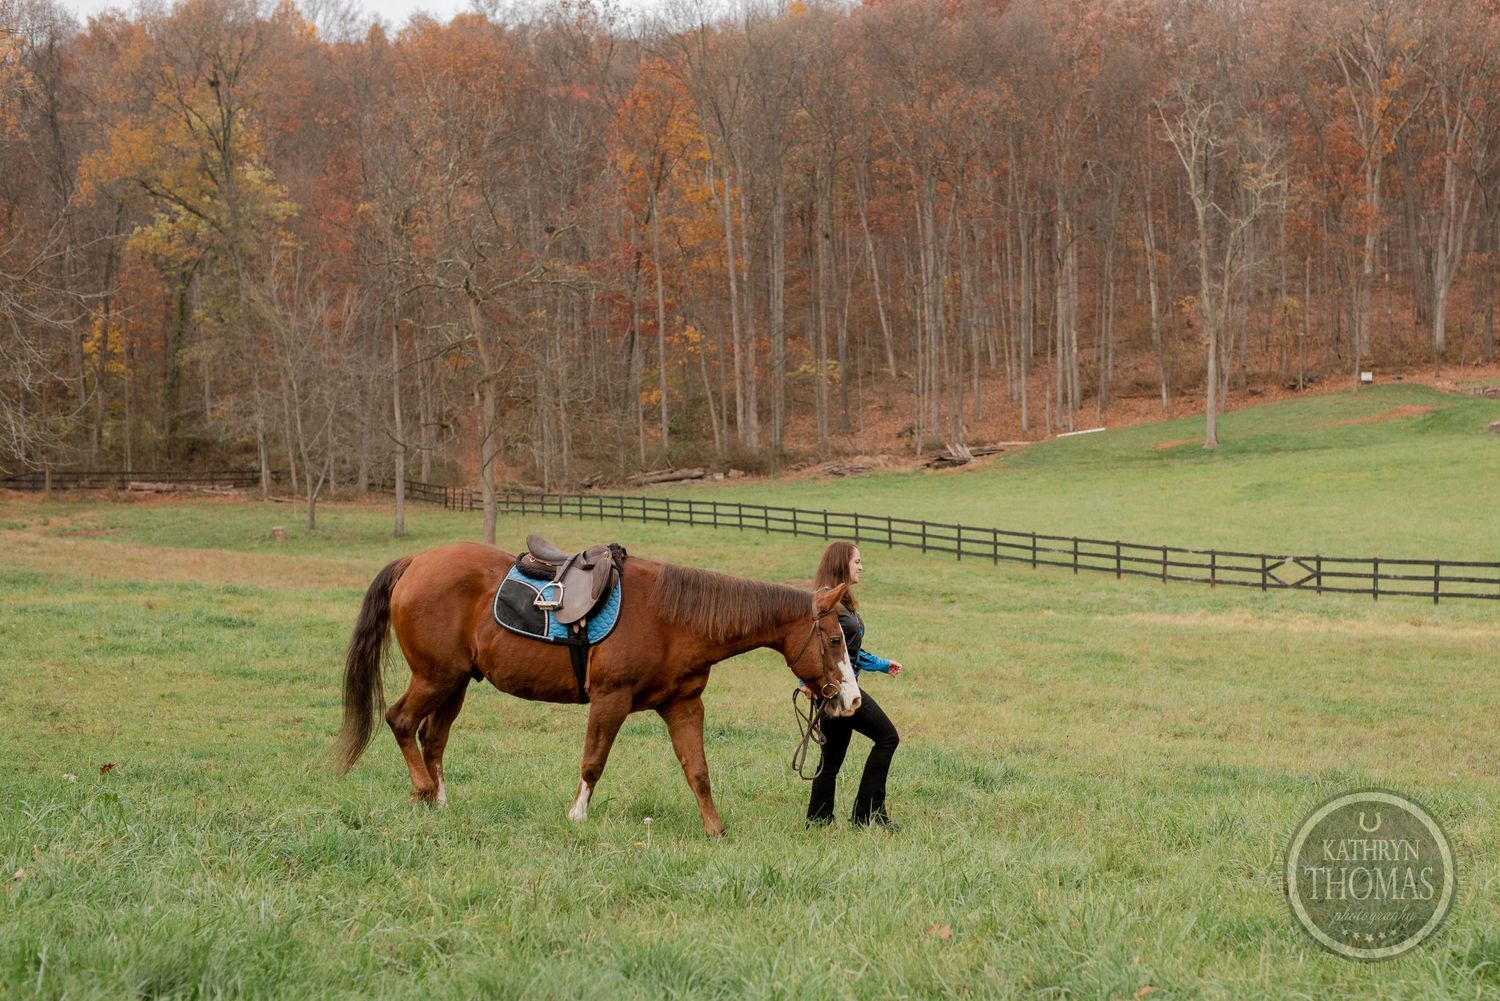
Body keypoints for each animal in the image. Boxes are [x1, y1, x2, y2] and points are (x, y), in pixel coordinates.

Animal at [332, 541, 861, 836]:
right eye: (836, 639)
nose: (852, 699)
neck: (674, 619)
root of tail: (416, 561)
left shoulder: (684, 706)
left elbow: (698, 771)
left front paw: (715, 831)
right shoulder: (611, 699)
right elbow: (593, 762)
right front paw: (577, 817)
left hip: (456, 682)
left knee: (433, 737)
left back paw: (439, 801)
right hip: (435, 677)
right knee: (401, 720)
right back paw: (422, 791)